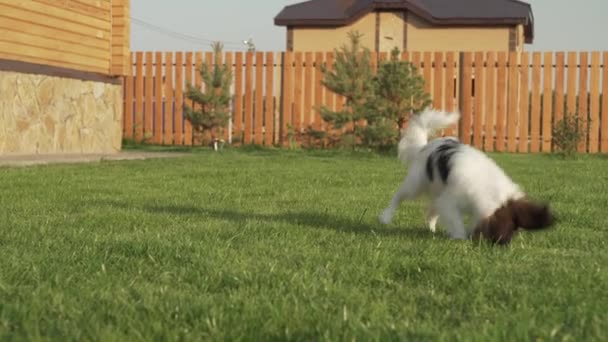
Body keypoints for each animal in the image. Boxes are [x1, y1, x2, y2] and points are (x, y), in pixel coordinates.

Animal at [380, 108, 556, 244]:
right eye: (504, 229)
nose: (504, 244)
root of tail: (424, 147)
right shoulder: (449, 202)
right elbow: (456, 221)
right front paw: (460, 238)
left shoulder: (448, 200)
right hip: (415, 184)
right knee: (398, 197)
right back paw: (385, 217)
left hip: (437, 189)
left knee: (431, 210)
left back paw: (431, 229)